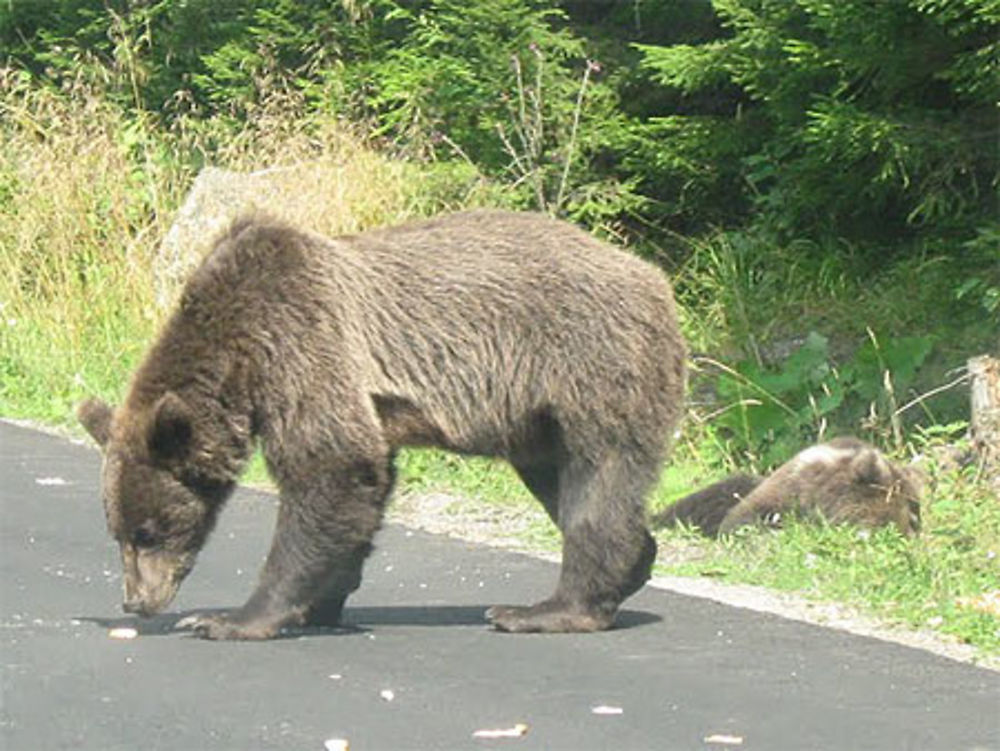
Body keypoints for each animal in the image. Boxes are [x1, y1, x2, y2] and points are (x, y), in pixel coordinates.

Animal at [78, 210, 688, 640]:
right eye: (118, 532)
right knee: (560, 482)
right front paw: (322, 601)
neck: (237, 359)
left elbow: (330, 465)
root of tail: (656, 279)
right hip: (538, 420)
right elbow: (362, 483)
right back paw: (632, 566)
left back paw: (544, 609)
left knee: (598, 483)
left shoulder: (300, 341)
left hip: (593, 366)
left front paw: (233, 618)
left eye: (147, 532)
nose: (136, 601)